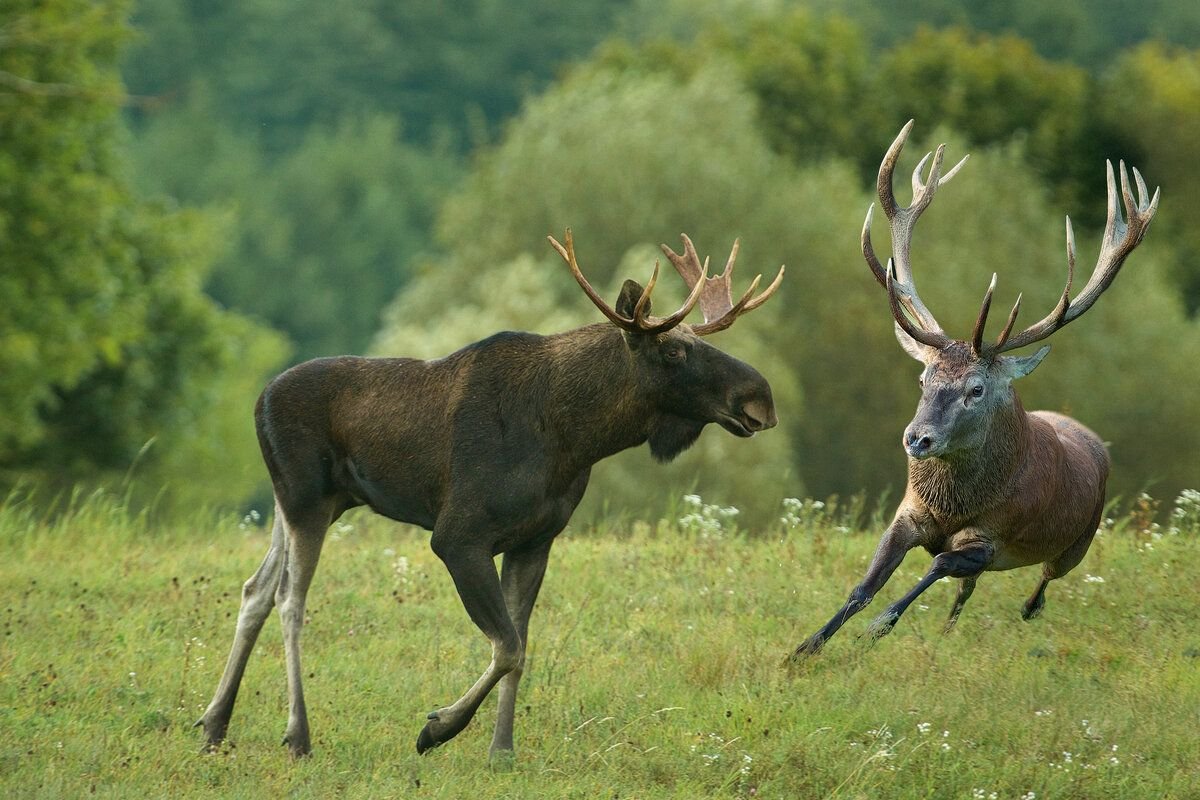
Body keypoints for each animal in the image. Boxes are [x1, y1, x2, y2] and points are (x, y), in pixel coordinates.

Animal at [199, 230, 787, 758]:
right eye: (672, 350)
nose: (761, 397)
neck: (575, 438)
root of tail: (258, 400)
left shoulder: (536, 540)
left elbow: (521, 648)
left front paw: (501, 750)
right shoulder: (458, 536)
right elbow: (505, 646)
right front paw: (437, 728)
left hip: (305, 502)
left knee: (255, 590)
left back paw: (213, 724)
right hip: (305, 498)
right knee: (289, 599)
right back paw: (297, 735)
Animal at [792, 118, 1156, 657]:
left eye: (977, 389)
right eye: (923, 377)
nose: (916, 438)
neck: (952, 506)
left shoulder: (992, 539)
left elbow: (938, 564)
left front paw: (876, 628)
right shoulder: (909, 514)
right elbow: (865, 583)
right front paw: (806, 648)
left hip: (1078, 541)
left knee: (1042, 580)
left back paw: (1026, 609)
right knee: (965, 593)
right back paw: (948, 630)